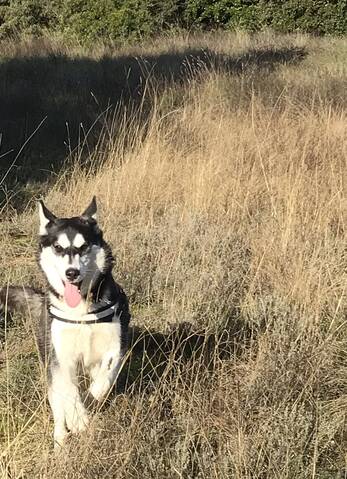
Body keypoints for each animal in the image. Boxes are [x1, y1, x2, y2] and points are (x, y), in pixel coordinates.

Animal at [0, 197, 130, 448]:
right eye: (58, 247)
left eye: (83, 246)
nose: (72, 273)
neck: (81, 312)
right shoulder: (59, 357)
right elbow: (68, 390)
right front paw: (77, 417)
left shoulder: (115, 347)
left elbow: (104, 379)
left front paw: (90, 400)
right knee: (58, 406)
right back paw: (61, 440)